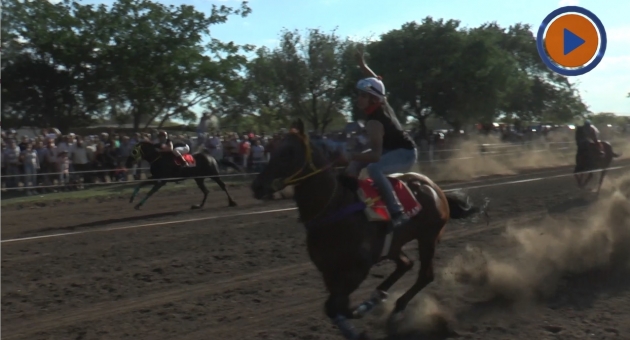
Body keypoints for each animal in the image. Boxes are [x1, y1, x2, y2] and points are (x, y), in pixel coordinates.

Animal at [252, 119, 488, 340]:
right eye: (273, 149)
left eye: (289, 152)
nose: (257, 186)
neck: (333, 209)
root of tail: (435, 188)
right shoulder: (328, 270)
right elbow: (333, 307)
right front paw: (358, 319)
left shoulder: (358, 268)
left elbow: (338, 307)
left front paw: (360, 315)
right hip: (394, 244)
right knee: (406, 264)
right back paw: (379, 297)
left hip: (428, 238)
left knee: (425, 275)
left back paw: (394, 308)